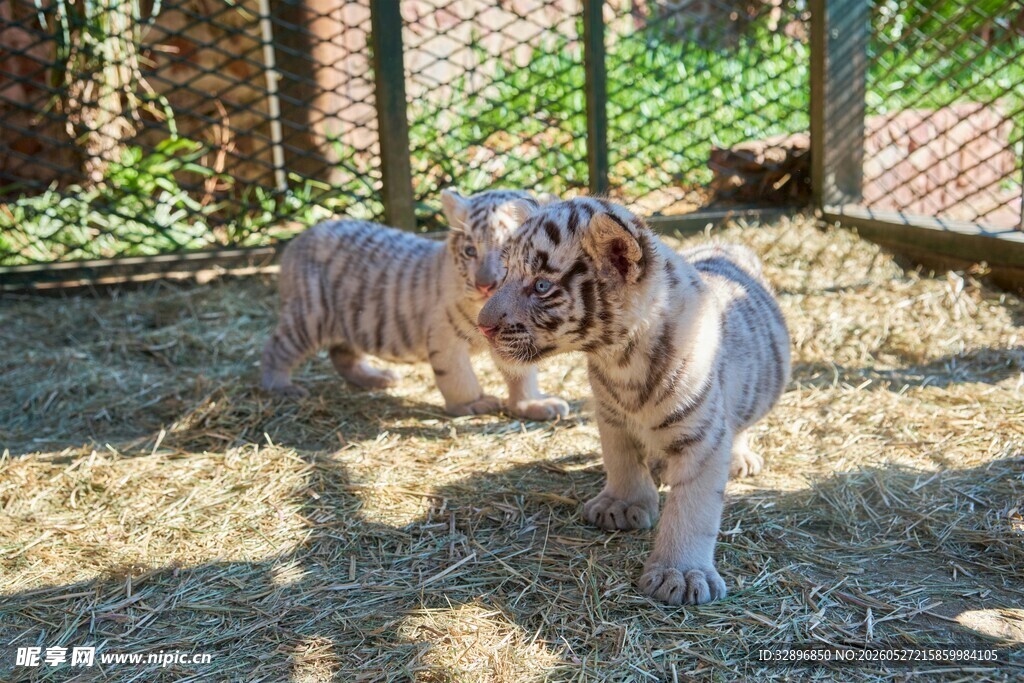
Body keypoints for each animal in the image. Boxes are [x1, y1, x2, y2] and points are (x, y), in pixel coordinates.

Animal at [261, 189, 570, 421]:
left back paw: (378, 378)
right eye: (470, 251)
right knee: (277, 348)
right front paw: (472, 403)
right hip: (310, 315)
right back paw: (281, 387)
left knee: (341, 355)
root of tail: (298, 240)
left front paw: (533, 405)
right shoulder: (445, 336)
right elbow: (457, 375)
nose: (485, 285)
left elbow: (522, 375)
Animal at [477, 197, 791, 604]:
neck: (619, 359)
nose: (482, 325)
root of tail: (728, 244)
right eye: (507, 274)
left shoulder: (703, 435)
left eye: (542, 285)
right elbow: (621, 460)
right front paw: (621, 505)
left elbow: (694, 507)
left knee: (740, 426)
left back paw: (738, 459)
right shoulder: (610, 416)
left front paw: (681, 574)